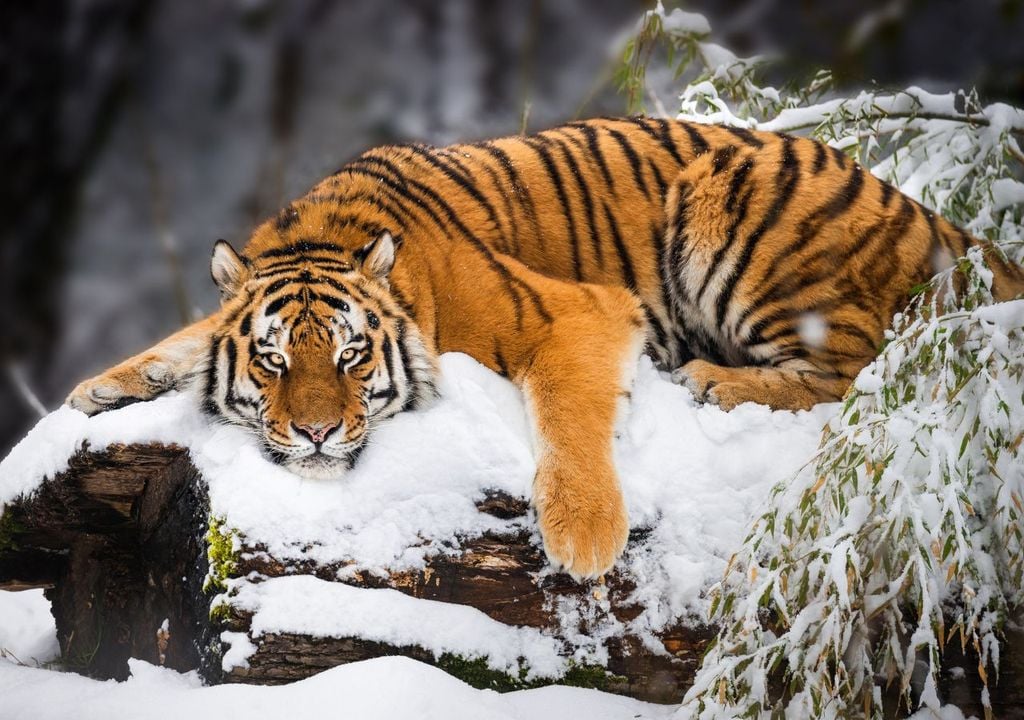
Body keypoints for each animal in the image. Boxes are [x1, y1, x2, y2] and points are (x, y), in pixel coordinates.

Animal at [66, 117, 1024, 580]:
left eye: (349, 358)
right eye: (272, 359)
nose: (314, 434)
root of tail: (931, 216)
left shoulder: (574, 312)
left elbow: (566, 414)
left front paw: (585, 535)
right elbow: (187, 337)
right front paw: (99, 389)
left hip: (735, 210)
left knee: (860, 369)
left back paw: (714, 380)